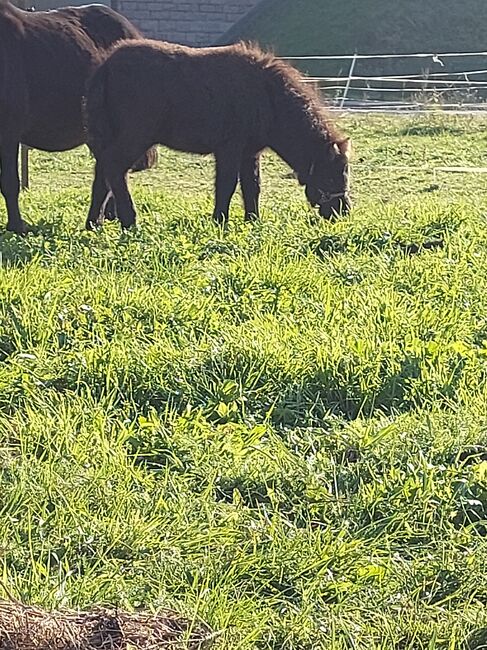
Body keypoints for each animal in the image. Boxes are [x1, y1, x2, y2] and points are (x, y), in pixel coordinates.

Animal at [84, 39, 350, 229]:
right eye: (330, 176)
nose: (343, 211)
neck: (267, 95)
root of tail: (106, 66)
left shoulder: (249, 153)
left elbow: (252, 186)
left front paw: (253, 221)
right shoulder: (229, 149)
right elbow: (227, 185)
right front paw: (220, 221)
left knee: (102, 174)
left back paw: (94, 224)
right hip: (136, 136)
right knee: (114, 166)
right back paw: (129, 221)